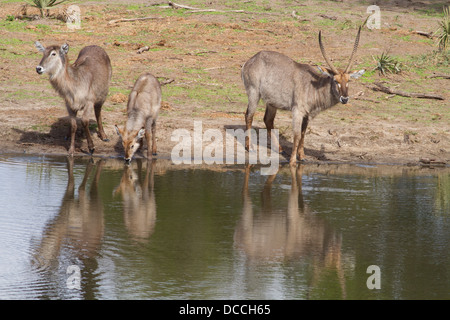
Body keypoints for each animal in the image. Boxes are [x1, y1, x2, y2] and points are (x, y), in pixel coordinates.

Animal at [243, 26, 366, 165]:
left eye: (348, 80)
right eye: (335, 80)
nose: (344, 99)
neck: (314, 86)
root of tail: (252, 59)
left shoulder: (307, 115)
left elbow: (303, 133)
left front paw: (302, 156)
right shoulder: (297, 111)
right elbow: (296, 135)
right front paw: (292, 160)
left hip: (272, 102)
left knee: (268, 120)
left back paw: (279, 149)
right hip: (254, 93)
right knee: (249, 115)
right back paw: (250, 147)